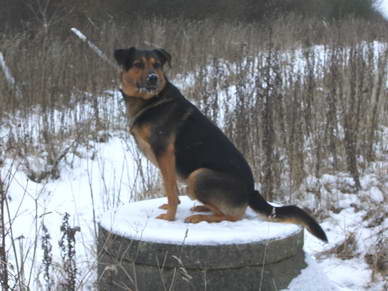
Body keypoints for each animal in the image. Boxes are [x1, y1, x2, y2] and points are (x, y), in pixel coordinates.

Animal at [114, 48, 328, 243]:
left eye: (157, 64)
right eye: (138, 64)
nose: (153, 78)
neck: (152, 100)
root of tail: (251, 191)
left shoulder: (165, 153)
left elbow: (170, 189)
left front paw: (169, 217)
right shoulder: (166, 160)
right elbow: (172, 188)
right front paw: (170, 207)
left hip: (198, 176)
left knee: (233, 216)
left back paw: (200, 216)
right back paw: (202, 208)